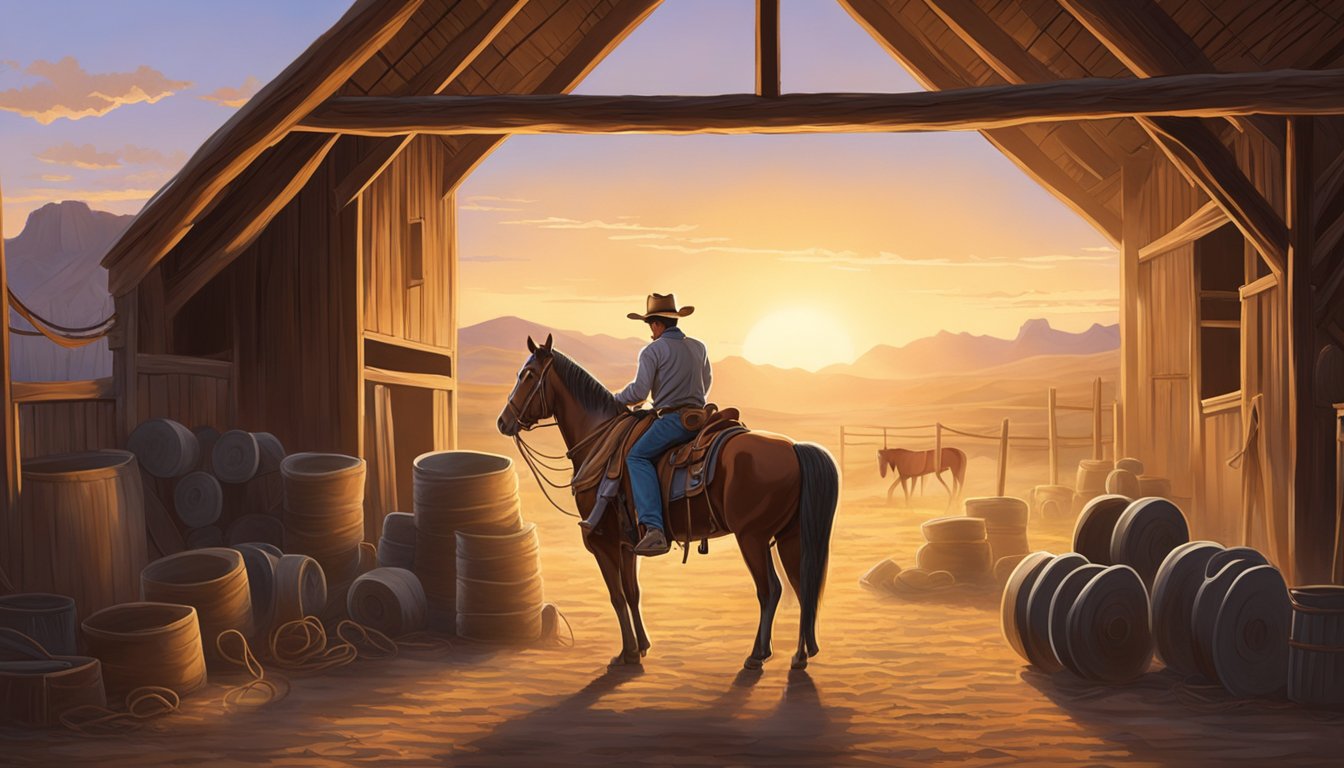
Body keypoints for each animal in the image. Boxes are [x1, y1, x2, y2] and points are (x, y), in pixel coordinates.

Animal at [502, 333, 838, 669]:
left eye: (528, 375)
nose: (503, 421)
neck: (599, 443)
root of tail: (795, 447)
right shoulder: (627, 544)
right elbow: (632, 593)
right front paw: (641, 648)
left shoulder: (602, 541)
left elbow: (616, 596)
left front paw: (627, 652)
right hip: (790, 535)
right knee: (803, 586)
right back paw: (799, 656)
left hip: (752, 537)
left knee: (770, 590)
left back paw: (757, 655)